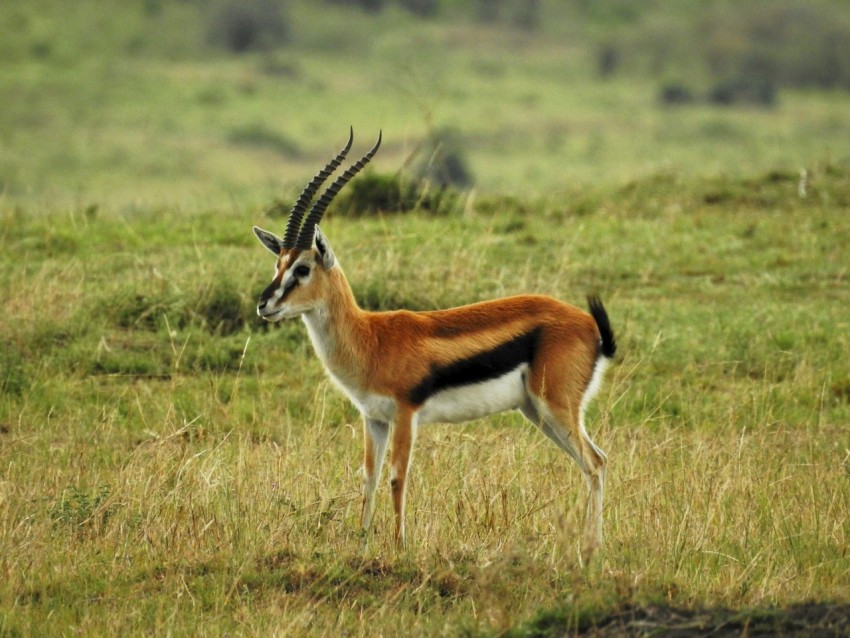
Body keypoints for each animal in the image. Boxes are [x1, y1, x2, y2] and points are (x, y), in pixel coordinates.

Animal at [252, 129, 616, 558]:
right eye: (278, 264)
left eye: (303, 268)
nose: (265, 304)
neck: (370, 338)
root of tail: (589, 325)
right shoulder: (374, 418)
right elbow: (369, 477)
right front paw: (361, 547)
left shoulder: (406, 413)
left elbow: (398, 477)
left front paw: (400, 548)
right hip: (537, 411)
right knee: (592, 462)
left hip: (555, 406)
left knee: (595, 462)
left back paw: (591, 550)